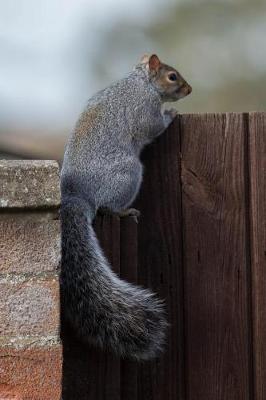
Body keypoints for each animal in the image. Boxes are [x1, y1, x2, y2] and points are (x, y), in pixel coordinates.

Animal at [60, 53, 191, 360]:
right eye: (172, 76)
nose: (189, 90)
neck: (140, 81)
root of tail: (78, 196)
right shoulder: (144, 108)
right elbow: (153, 126)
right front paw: (170, 115)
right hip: (129, 174)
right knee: (107, 207)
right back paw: (123, 211)